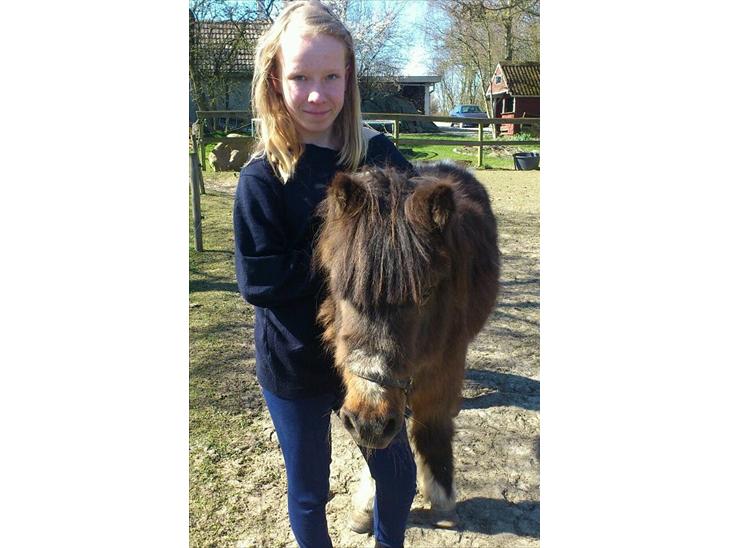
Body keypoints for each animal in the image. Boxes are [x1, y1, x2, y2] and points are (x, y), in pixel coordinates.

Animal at [314, 160, 500, 526]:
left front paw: (442, 496)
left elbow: (432, 423)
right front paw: (368, 502)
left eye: (425, 292)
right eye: (338, 284)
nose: (368, 423)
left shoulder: (445, 363)